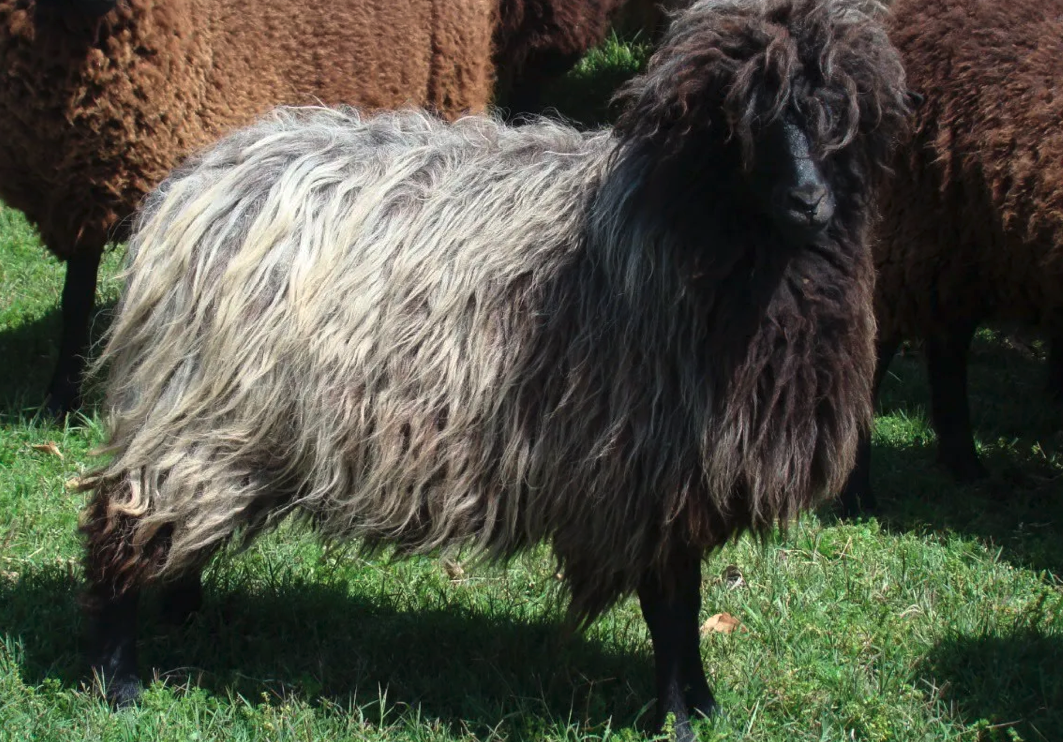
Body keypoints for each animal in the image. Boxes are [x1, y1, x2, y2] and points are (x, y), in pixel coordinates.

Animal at [78, 0, 909, 737]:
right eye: (745, 123)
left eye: (837, 117)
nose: (809, 201)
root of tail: (193, 183)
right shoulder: (645, 472)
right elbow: (671, 604)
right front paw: (679, 715)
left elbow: (681, 597)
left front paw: (702, 706)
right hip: (196, 410)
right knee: (124, 520)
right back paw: (118, 678)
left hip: (223, 429)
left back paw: (186, 614)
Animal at [838, 0, 1063, 516]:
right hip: (912, 235)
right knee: (880, 352)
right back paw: (857, 496)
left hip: (968, 250)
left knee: (947, 345)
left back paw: (966, 466)